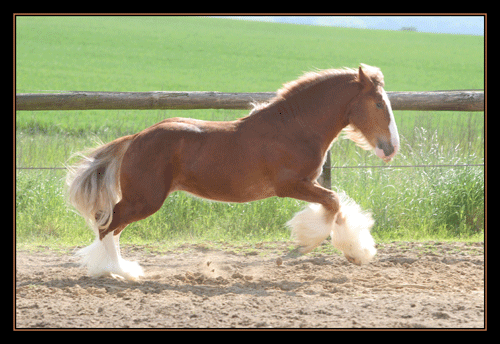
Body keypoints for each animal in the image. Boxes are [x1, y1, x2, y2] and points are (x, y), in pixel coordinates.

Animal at [68, 63, 400, 280]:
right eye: (378, 103)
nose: (391, 148)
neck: (294, 128)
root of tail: (135, 138)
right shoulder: (291, 185)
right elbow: (333, 203)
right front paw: (301, 248)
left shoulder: (308, 183)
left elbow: (336, 207)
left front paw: (357, 253)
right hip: (144, 199)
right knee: (107, 225)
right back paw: (113, 272)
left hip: (141, 199)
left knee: (112, 226)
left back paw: (121, 270)